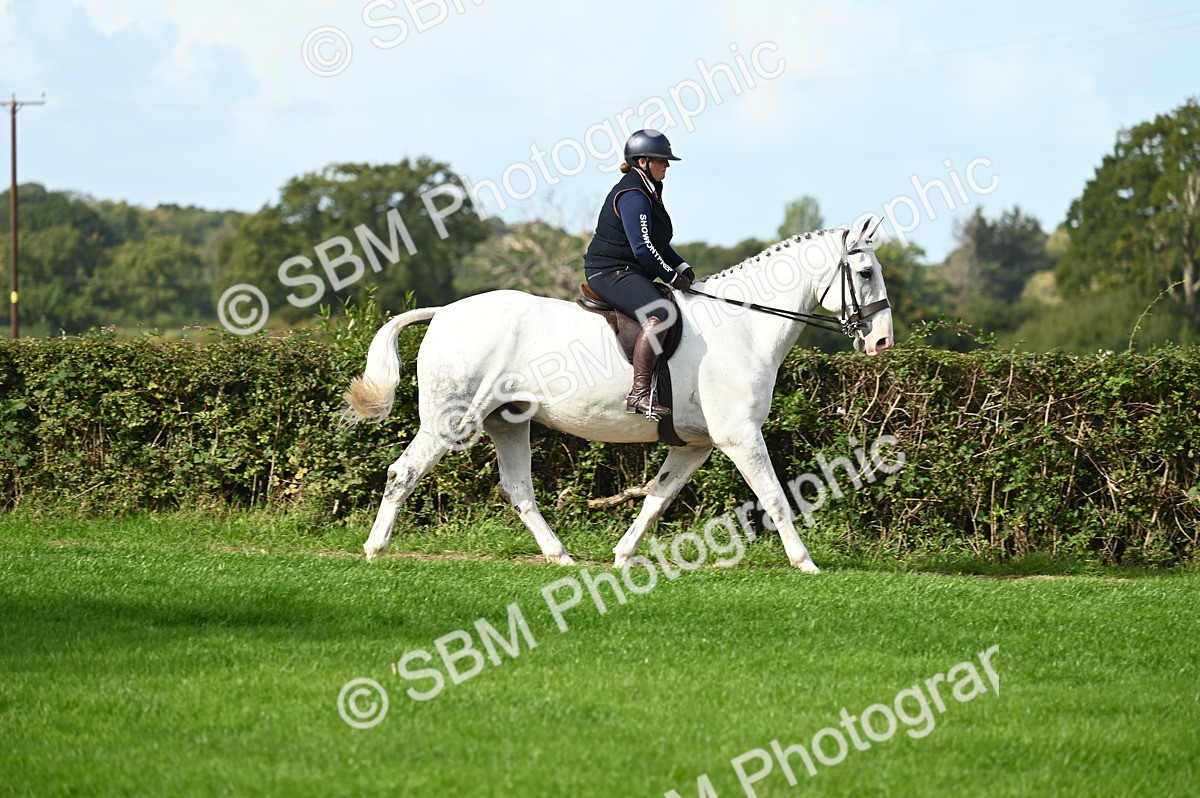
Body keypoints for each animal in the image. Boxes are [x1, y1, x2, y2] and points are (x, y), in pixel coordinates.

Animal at [342, 217, 894, 572]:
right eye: (865, 273)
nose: (881, 342)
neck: (743, 326)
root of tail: (444, 312)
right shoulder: (740, 437)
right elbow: (776, 497)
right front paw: (805, 563)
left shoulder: (695, 445)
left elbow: (656, 499)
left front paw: (623, 555)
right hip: (450, 423)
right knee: (403, 472)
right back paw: (375, 549)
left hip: (509, 421)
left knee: (519, 490)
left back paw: (559, 555)